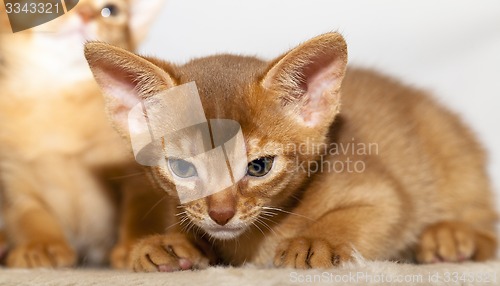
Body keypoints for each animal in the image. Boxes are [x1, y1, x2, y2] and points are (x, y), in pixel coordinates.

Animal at [0, 0, 168, 268]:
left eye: (110, 11)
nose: (86, 14)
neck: (60, 95)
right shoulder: (14, 178)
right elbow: (29, 215)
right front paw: (40, 245)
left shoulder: (140, 175)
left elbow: (141, 209)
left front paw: (137, 244)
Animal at [85, 32, 496, 272]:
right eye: (183, 169)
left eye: (259, 166)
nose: (221, 214)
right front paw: (171, 242)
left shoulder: (387, 195)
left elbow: (367, 214)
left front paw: (318, 241)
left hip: (453, 157)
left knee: (487, 230)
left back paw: (452, 237)